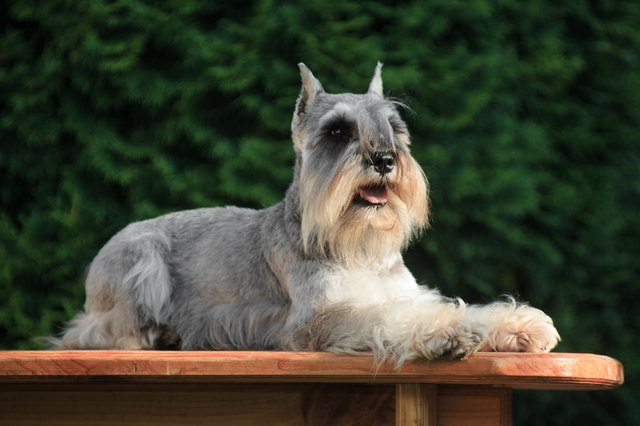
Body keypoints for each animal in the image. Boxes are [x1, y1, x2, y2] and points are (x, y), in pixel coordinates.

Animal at [55, 64, 560, 366]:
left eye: (394, 128)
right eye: (337, 132)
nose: (384, 159)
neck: (355, 248)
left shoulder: (406, 293)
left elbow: (451, 305)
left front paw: (517, 325)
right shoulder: (321, 319)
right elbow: (389, 318)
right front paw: (448, 333)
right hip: (141, 264)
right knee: (97, 334)